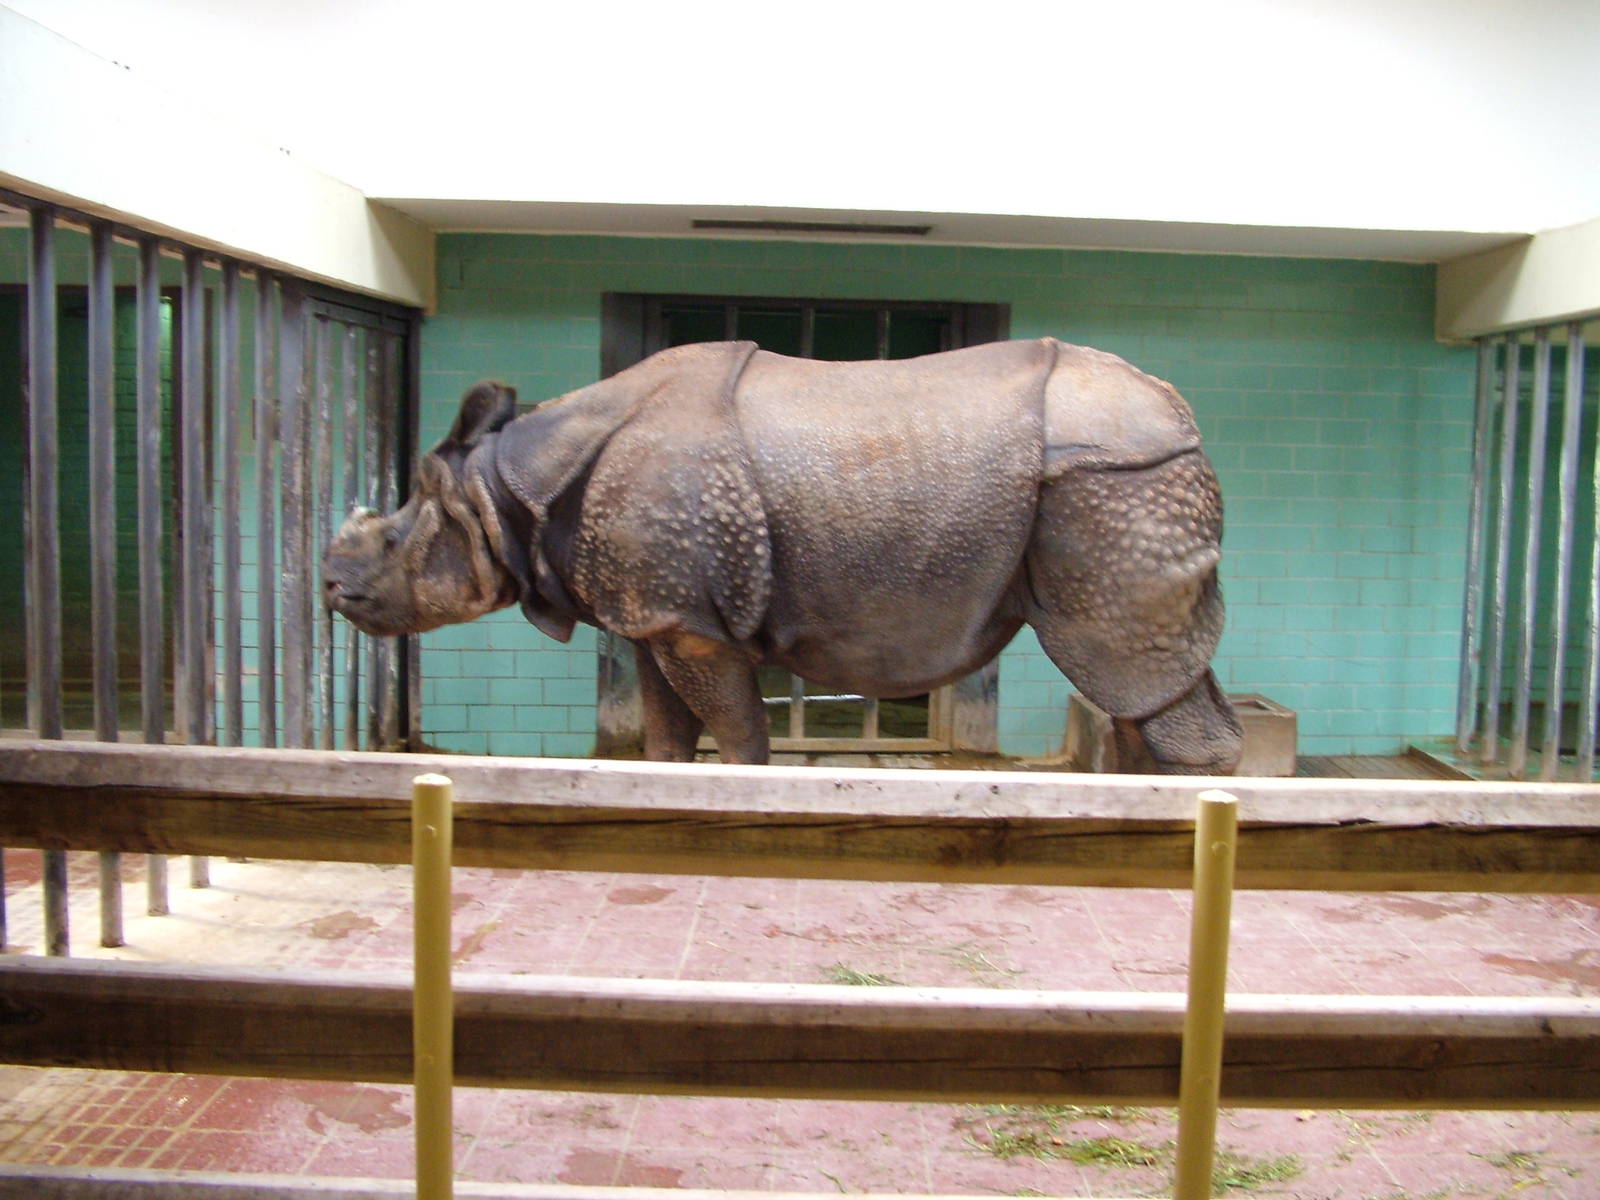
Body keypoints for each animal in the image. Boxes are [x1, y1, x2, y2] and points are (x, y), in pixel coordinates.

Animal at [323, 338, 1243, 773]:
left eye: (394, 541)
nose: (330, 586)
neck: (509, 485)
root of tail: (1183, 417)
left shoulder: (691, 626)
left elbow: (738, 741)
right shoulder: (659, 612)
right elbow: (666, 741)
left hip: (1113, 483)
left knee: (1117, 660)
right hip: (1125, 478)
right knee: (1145, 685)